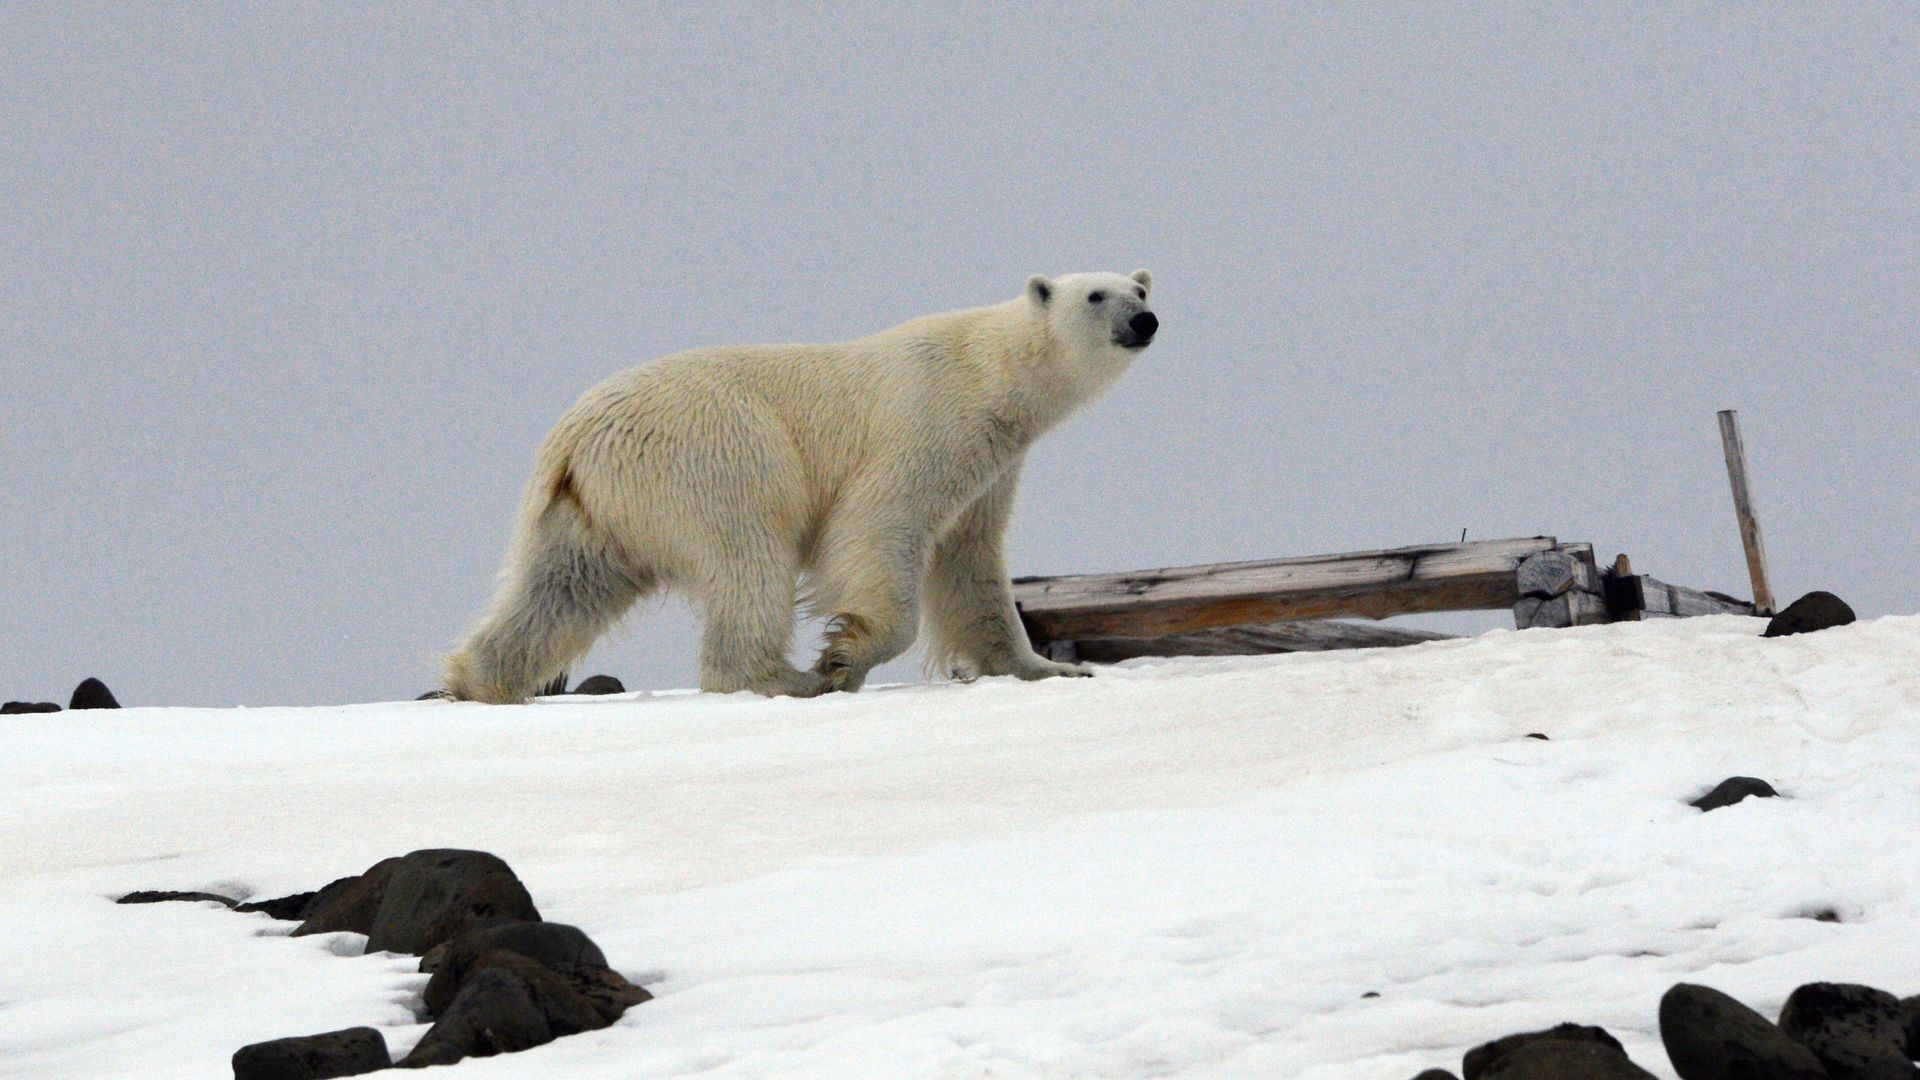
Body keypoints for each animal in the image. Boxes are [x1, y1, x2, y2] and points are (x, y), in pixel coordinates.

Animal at [443, 269, 1157, 702]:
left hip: (597, 503)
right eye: (1095, 296)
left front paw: (1051, 667)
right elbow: (879, 523)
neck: (988, 371)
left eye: (1141, 291)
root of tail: (570, 434)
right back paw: (786, 678)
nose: (1143, 322)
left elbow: (970, 563)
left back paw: (480, 679)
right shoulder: (930, 421)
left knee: (563, 587)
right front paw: (842, 660)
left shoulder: (994, 465)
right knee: (749, 557)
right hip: (714, 454)